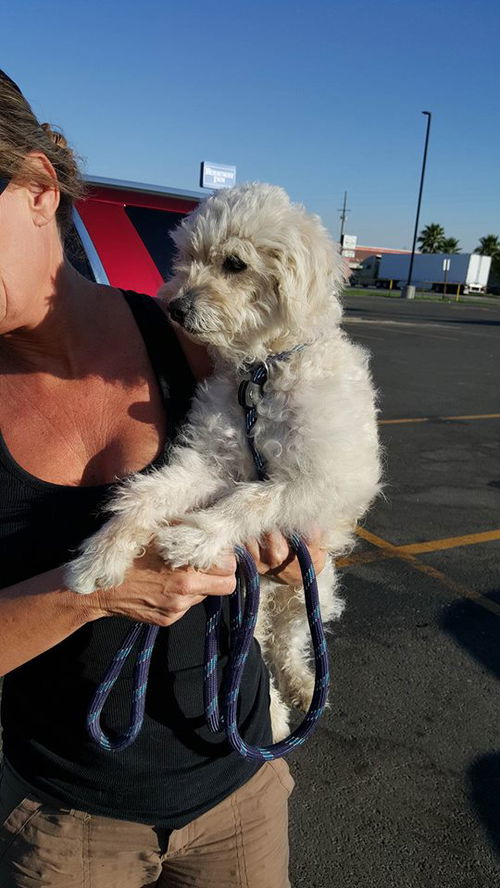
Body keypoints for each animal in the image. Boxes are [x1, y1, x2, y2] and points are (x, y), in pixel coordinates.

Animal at [65, 184, 378, 740]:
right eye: (185, 258)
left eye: (235, 264)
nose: (174, 307)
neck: (262, 372)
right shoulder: (212, 464)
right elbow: (151, 493)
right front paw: (102, 553)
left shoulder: (320, 481)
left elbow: (254, 499)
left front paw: (195, 536)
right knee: (255, 652)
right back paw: (274, 713)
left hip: (312, 585)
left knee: (287, 638)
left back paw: (300, 689)